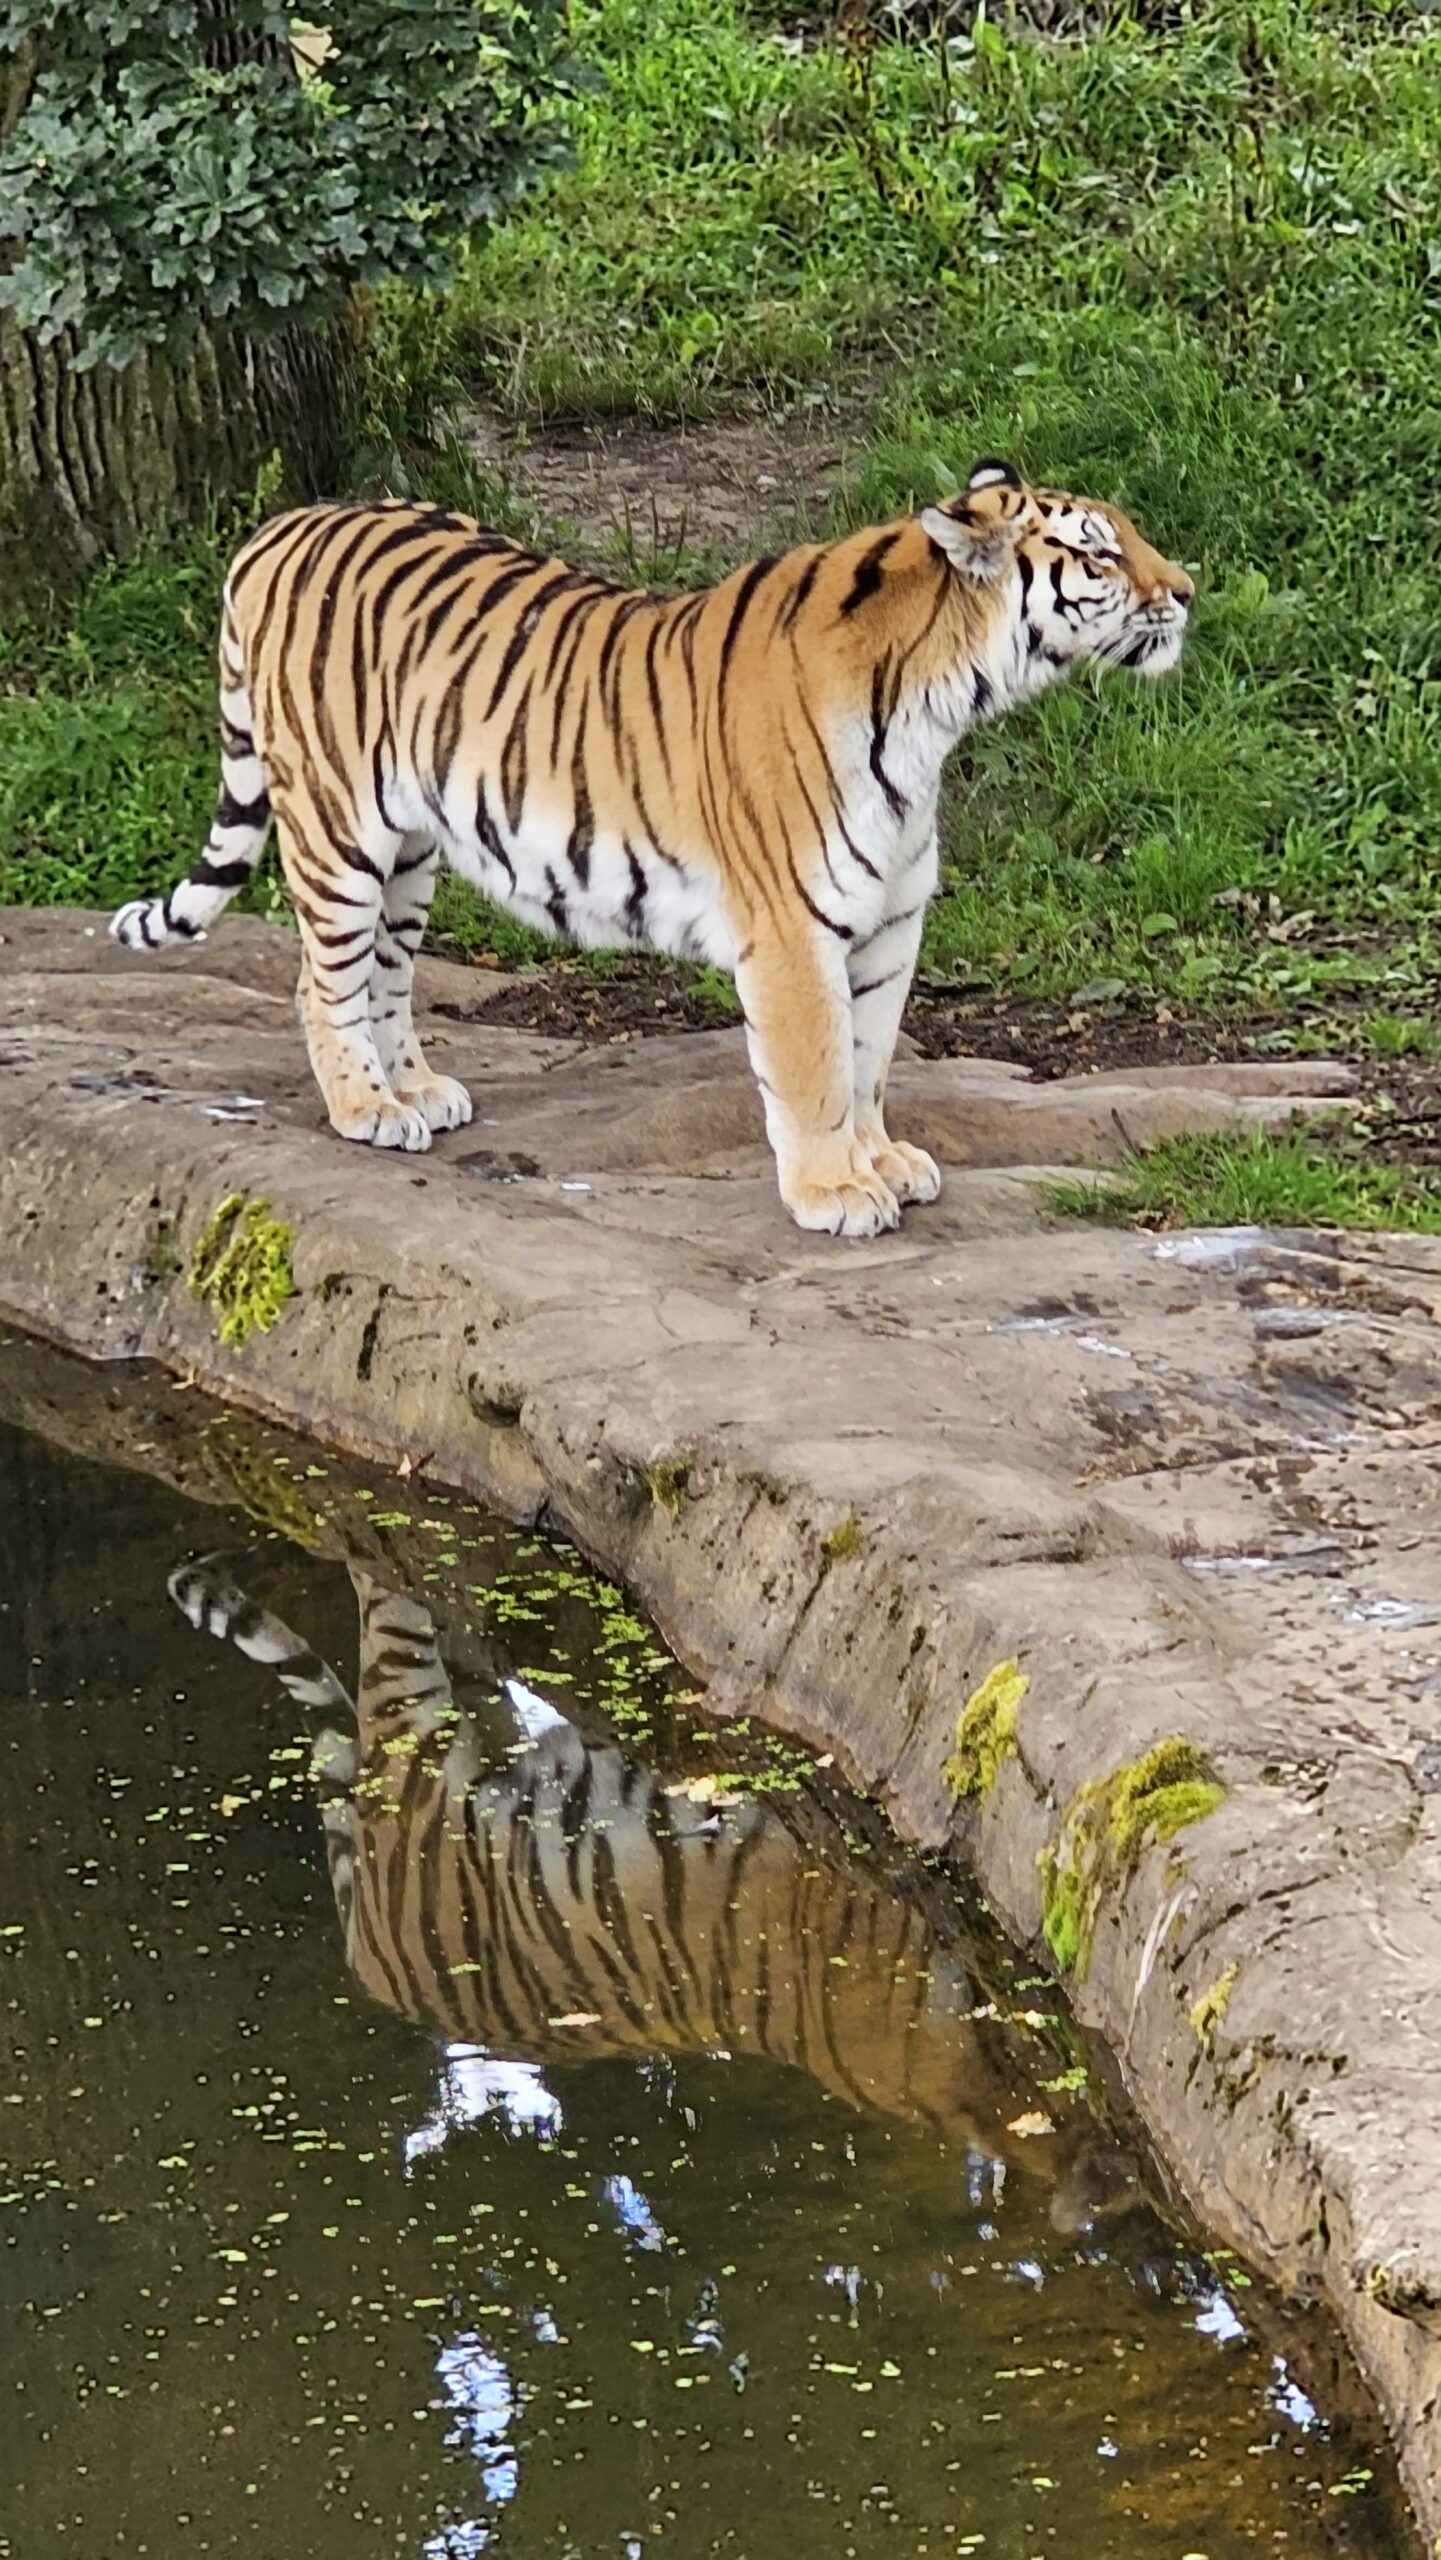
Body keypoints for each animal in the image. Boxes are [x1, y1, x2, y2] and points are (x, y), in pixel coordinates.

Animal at [110, 461, 1193, 1237]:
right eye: (1099, 556)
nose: (1186, 590)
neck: (941, 706)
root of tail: (278, 526)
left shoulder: (890, 927)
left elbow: (871, 1058)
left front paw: (882, 1160)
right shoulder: (791, 931)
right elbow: (815, 1069)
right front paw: (835, 1193)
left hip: (413, 848)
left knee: (385, 971)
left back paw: (414, 1090)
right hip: (338, 827)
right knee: (319, 979)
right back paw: (365, 1111)